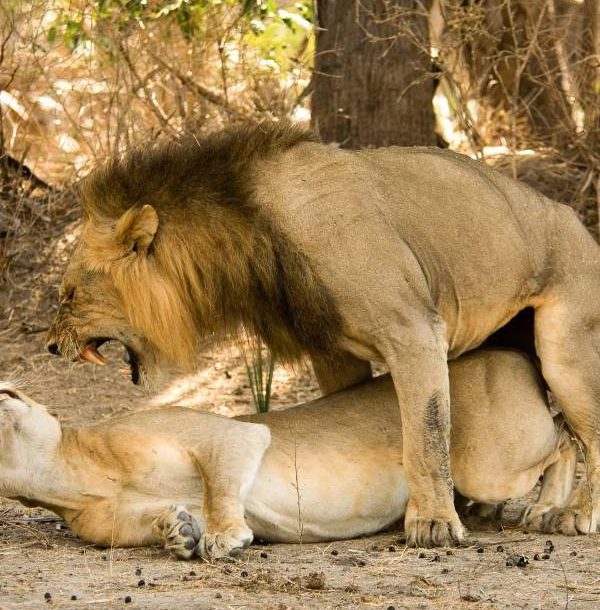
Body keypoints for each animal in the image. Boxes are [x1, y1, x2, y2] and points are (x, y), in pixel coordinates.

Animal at [0, 351, 577, 558]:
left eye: (9, 389)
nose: (2, 388)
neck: (71, 476)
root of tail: (510, 350)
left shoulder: (232, 436)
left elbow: (220, 486)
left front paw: (222, 537)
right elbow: (164, 518)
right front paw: (178, 532)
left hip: (488, 464)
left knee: (566, 436)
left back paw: (556, 511)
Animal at [46, 122, 600, 547]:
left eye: (70, 293)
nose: (51, 346)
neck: (250, 234)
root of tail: (576, 220)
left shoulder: (414, 330)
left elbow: (425, 433)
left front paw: (434, 525)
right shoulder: (334, 351)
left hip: (565, 350)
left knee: (584, 431)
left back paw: (573, 515)